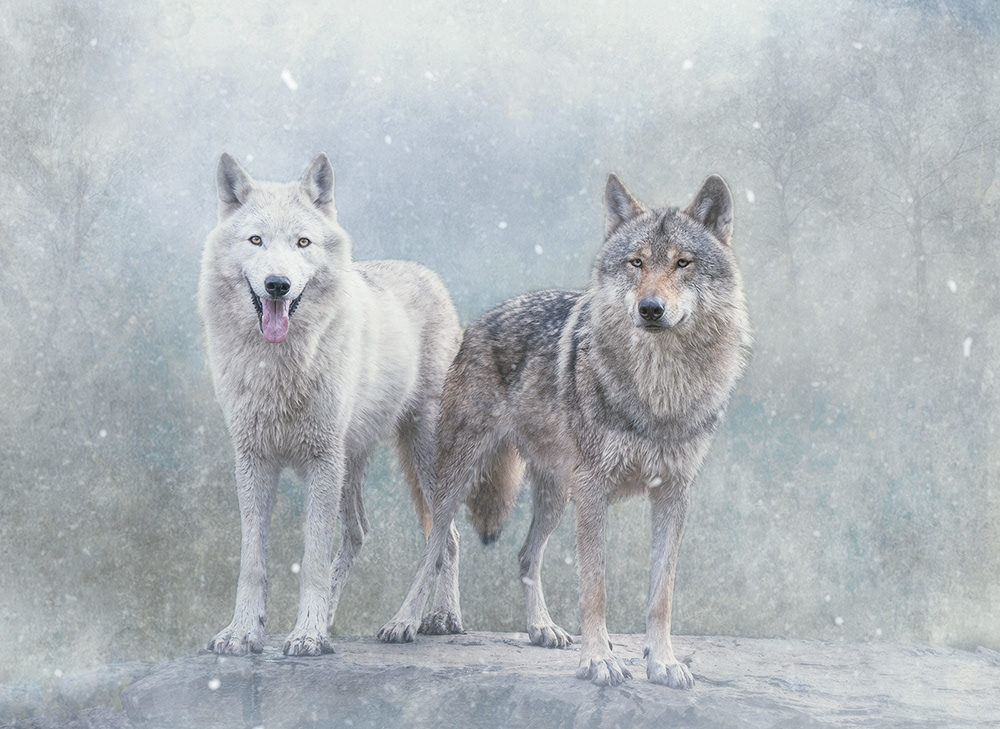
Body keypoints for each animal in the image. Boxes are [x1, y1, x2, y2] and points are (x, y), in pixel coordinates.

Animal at [198, 153, 462, 656]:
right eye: (256, 240)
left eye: (303, 242)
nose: (277, 285)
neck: (280, 369)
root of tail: (433, 279)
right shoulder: (253, 462)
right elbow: (252, 562)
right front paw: (244, 632)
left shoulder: (320, 463)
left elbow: (313, 562)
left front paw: (306, 634)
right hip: (350, 466)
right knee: (361, 533)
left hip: (419, 456)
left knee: (446, 536)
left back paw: (427, 619)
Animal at [379, 173, 750, 688]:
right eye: (636, 263)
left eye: (683, 263)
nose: (650, 308)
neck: (658, 390)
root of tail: (480, 318)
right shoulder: (594, 489)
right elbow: (594, 586)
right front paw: (599, 660)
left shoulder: (673, 494)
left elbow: (661, 595)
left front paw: (663, 663)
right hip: (458, 478)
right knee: (436, 547)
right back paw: (405, 622)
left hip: (556, 494)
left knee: (524, 555)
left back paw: (543, 628)